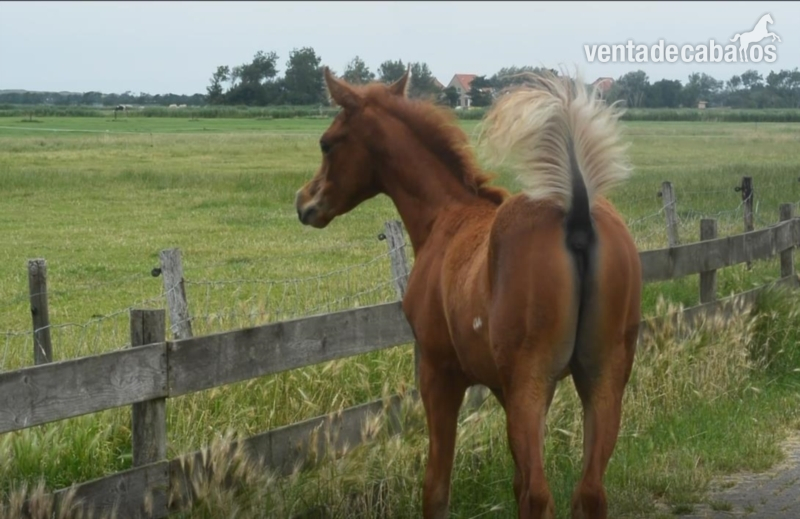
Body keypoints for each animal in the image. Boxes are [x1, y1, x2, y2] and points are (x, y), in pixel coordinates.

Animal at [294, 68, 642, 519]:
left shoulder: (439, 374)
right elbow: (514, 479)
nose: (304, 201)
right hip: (602, 376)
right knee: (589, 492)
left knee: (539, 495)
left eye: (327, 142)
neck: (445, 217)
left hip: (533, 380)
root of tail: (577, 215)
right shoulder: (500, 385)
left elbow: (437, 485)